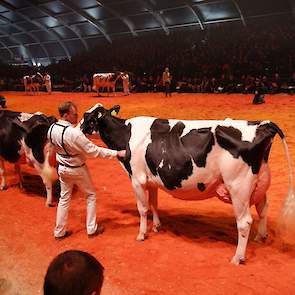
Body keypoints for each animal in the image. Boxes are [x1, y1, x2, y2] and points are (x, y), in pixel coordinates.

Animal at [80, 103, 295, 264]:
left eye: (87, 118)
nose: (77, 129)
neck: (126, 134)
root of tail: (262, 124)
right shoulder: (152, 179)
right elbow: (154, 204)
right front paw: (157, 226)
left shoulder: (137, 178)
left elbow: (142, 208)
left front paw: (141, 234)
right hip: (259, 183)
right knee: (263, 208)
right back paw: (261, 237)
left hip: (238, 186)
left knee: (244, 222)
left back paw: (237, 257)